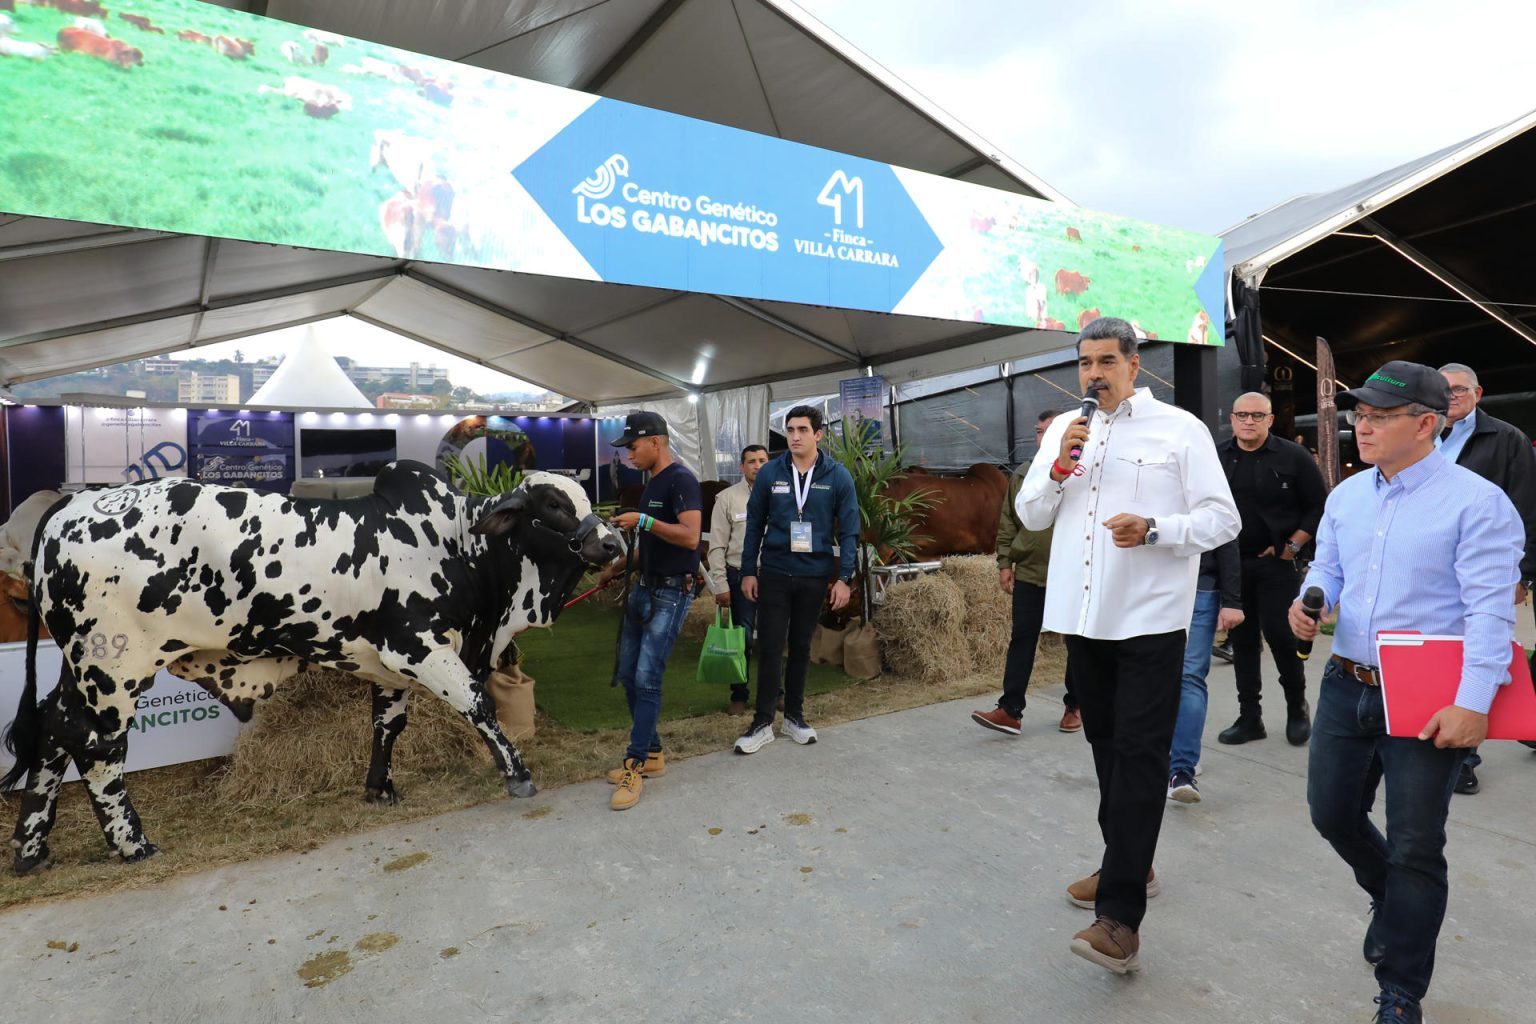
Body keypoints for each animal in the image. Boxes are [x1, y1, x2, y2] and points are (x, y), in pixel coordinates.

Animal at [7, 463, 617, 872]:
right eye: (552, 505)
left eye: (583, 498)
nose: (612, 541)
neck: (458, 545)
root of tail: (67, 508)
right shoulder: (418, 648)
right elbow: (479, 704)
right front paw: (518, 774)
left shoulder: (391, 666)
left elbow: (388, 724)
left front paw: (380, 789)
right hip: (115, 667)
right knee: (98, 750)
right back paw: (132, 844)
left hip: (79, 670)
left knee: (54, 731)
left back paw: (32, 848)